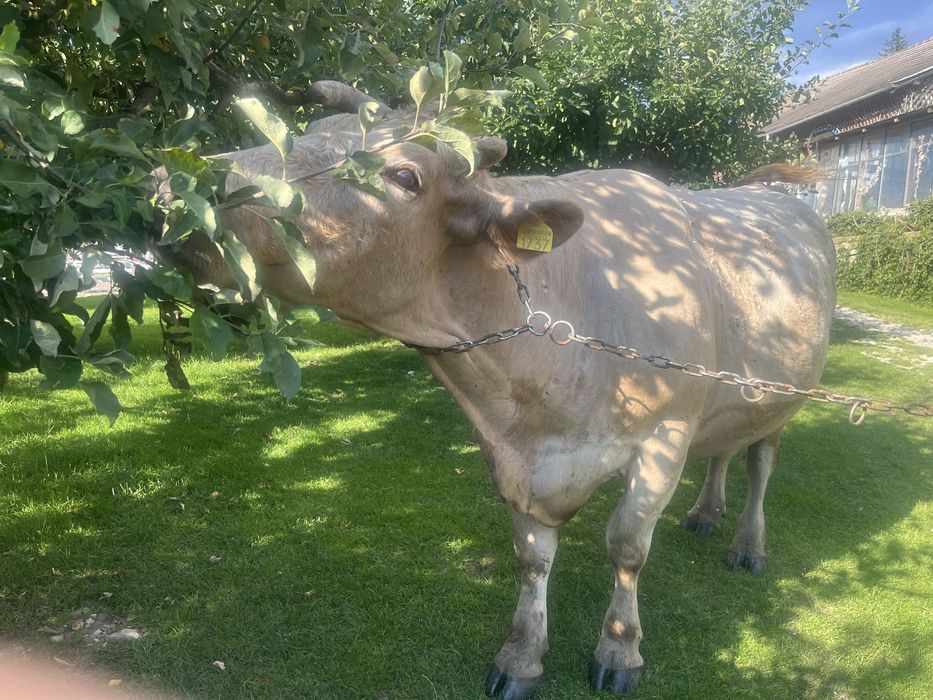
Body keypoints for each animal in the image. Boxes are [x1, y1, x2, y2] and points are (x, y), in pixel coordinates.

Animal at [167, 89, 835, 698]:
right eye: (316, 129)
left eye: (404, 176)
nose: (178, 178)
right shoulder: (511, 453)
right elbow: (532, 556)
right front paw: (521, 657)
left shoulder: (665, 435)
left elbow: (626, 546)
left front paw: (619, 651)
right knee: (725, 444)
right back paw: (705, 514)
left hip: (789, 391)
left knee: (760, 459)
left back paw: (747, 544)